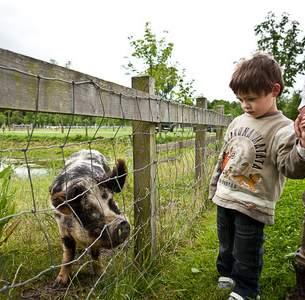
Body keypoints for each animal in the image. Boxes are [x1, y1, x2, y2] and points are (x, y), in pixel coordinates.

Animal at [49, 150, 130, 286]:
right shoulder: (62, 227)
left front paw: (101, 275)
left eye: (111, 202)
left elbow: (95, 252)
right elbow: (68, 254)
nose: (122, 224)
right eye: (88, 210)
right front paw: (59, 283)